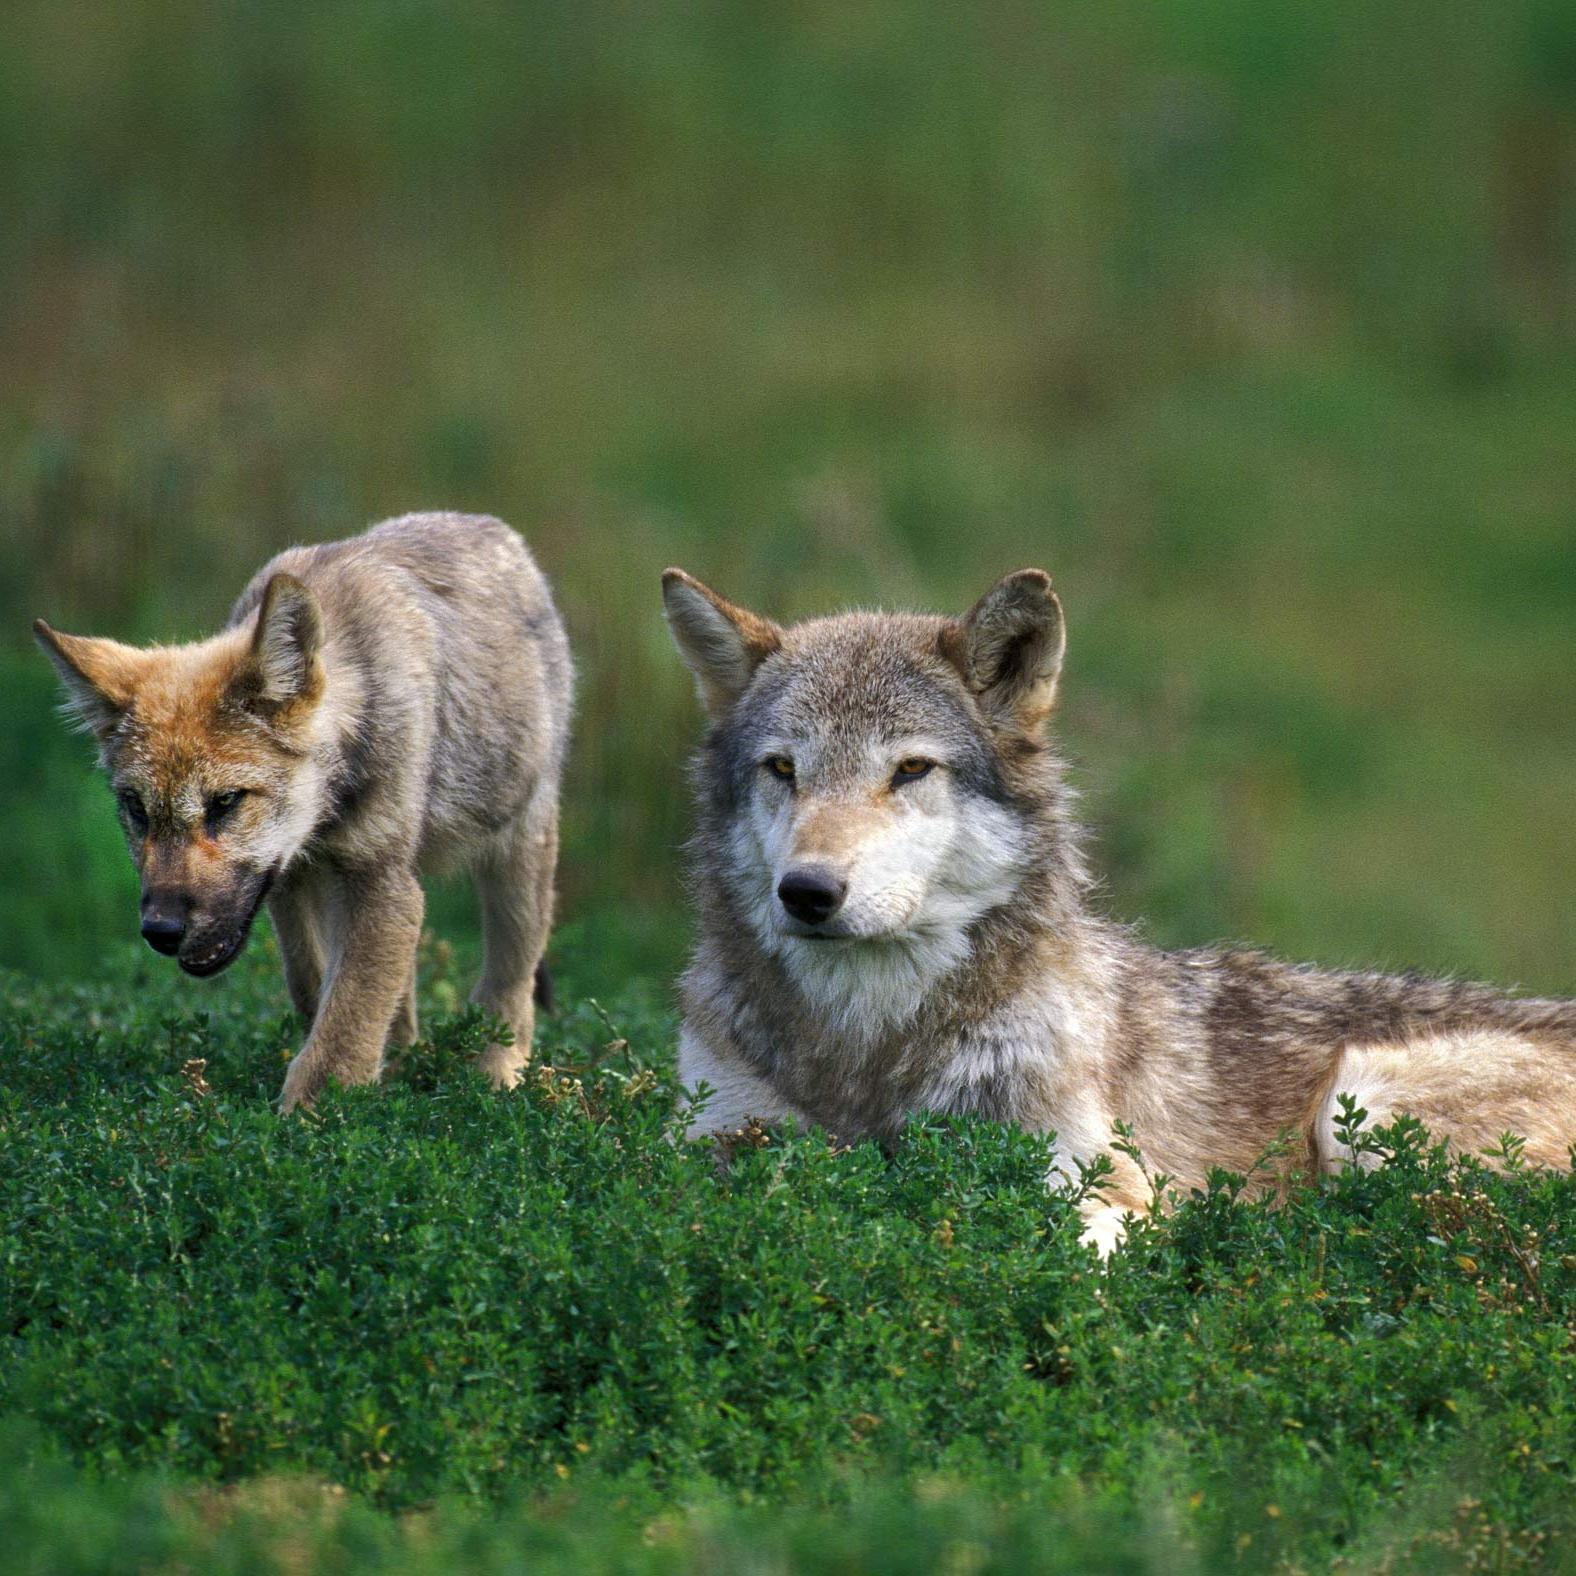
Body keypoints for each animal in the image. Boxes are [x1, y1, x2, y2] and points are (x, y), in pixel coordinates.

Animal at [37, 513, 573, 1109]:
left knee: (509, 983)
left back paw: (495, 1074)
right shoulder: (296, 883)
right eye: (136, 809)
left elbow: (345, 1023)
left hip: (515, 857)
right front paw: (370, 1082)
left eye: (225, 803)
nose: (161, 930)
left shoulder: (380, 878)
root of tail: (496, 531)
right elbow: (320, 990)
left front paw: (314, 1115)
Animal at [661, 567, 1576, 1254]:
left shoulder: (1109, 1185)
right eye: (783, 770)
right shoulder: (706, 1137)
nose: (808, 892)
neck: (865, 1051)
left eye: (911, 769)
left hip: (1366, 1105)